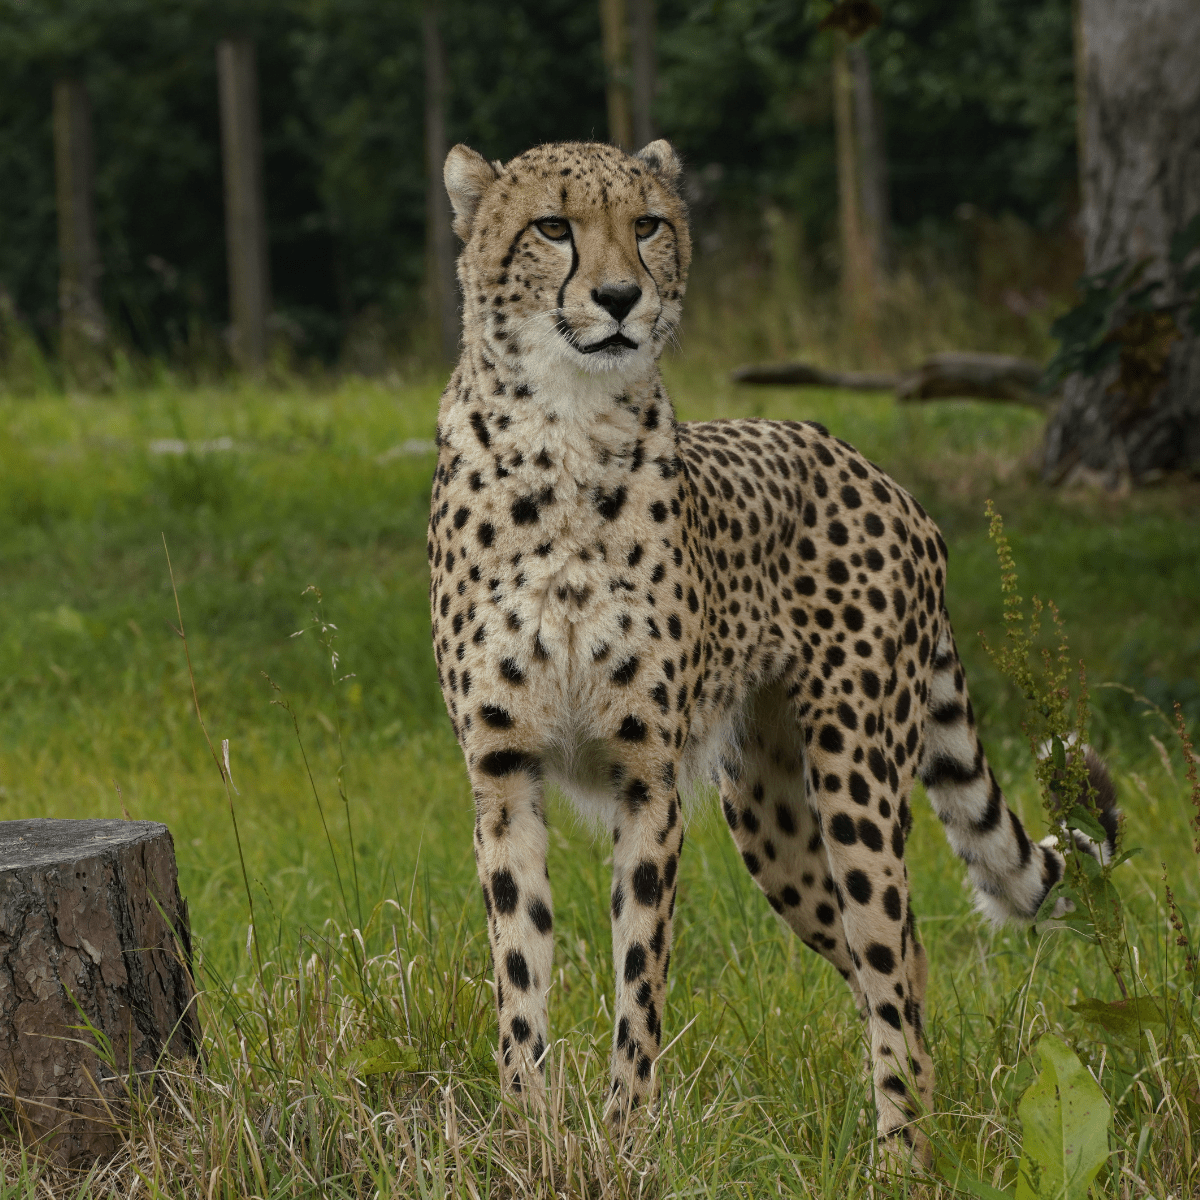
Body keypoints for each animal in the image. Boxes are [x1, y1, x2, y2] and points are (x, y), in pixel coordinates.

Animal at [426, 138, 1119, 1163]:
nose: (622, 297)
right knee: (902, 955)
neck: (565, 431)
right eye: (552, 227)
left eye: (648, 224)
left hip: (854, 772)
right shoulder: (502, 769)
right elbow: (520, 973)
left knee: (888, 948)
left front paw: (626, 1140)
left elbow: (639, 980)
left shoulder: (648, 778)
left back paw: (902, 1154)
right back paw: (924, 1127)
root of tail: (866, 464)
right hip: (769, 811)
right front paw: (528, 1137)